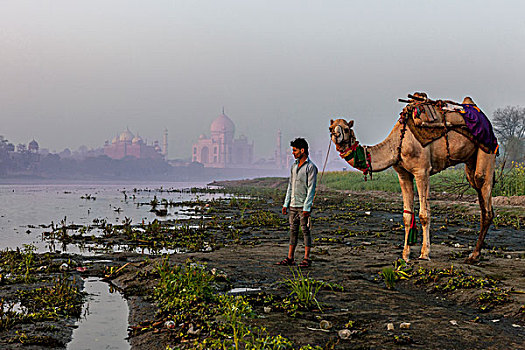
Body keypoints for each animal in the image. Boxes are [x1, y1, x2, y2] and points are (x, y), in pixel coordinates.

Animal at [330, 94, 498, 264]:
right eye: (331, 128)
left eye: (345, 129)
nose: (336, 136)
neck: (398, 143)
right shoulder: (403, 174)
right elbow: (406, 216)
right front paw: (405, 254)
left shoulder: (421, 171)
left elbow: (424, 214)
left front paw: (424, 253)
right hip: (470, 159)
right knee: (479, 193)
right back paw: (476, 253)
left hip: (487, 149)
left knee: (483, 188)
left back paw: (474, 255)